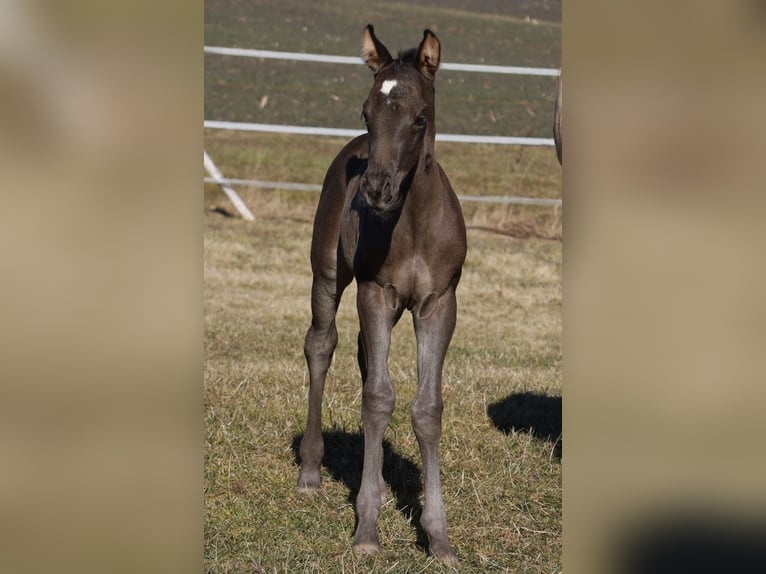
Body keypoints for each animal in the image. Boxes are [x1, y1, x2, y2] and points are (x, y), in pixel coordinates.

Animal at [296, 23, 468, 568]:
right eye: (366, 113)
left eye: (420, 117)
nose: (376, 188)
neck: (410, 224)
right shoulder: (376, 293)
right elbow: (377, 398)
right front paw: (367, 529)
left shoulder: (439, 304)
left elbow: (427, 407)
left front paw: (439, 539)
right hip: (328, 275)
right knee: (321, 345)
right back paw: (310, 471)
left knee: (359, 355)